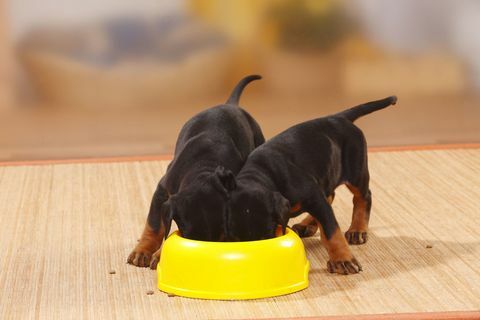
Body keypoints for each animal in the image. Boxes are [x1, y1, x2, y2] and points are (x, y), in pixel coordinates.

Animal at [127, 76, 264, 268]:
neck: (203, 169)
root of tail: (230, 104)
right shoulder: (162, 190)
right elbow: (154, 224)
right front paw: (142, 251)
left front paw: (160, 255)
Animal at [227, 95, 396, 276]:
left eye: (266, 234)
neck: (262, 173)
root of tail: (339, 117)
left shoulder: (314, 197)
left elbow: (331, 232)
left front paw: (343, 260)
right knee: (331, 195)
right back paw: (306, 225)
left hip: (356, 170)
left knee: (363, 196)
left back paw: (357, 230)